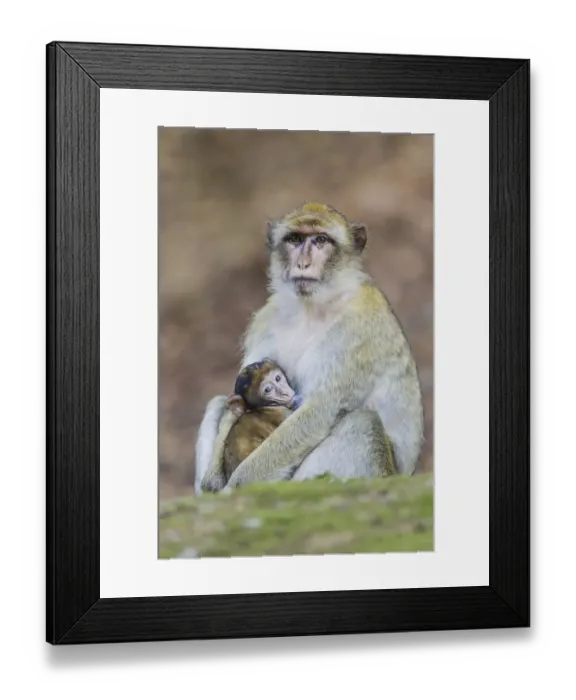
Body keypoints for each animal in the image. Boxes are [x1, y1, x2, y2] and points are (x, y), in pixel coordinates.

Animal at [195, 201, 423, 494]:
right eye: (295, 239)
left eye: (321, 240)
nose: (303, 263)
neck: (312, 307)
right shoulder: (266, 320)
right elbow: (235, 398)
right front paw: (213, 481)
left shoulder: (358, 329)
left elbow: (319, 411)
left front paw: (234, 488)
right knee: (217, 403)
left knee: (362, 422)